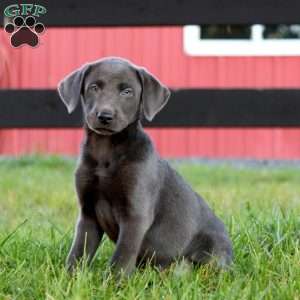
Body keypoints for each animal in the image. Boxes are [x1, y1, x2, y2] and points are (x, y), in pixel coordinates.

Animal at [58, 56, 232, 276]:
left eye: (127, 91)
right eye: (94, 87)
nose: (105, 116)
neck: (106, 151)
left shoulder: (136, 215)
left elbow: (122, 256)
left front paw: (113, 282)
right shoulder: (88, 213)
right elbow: (79, 251)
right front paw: (70, 278)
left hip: (210, 252)